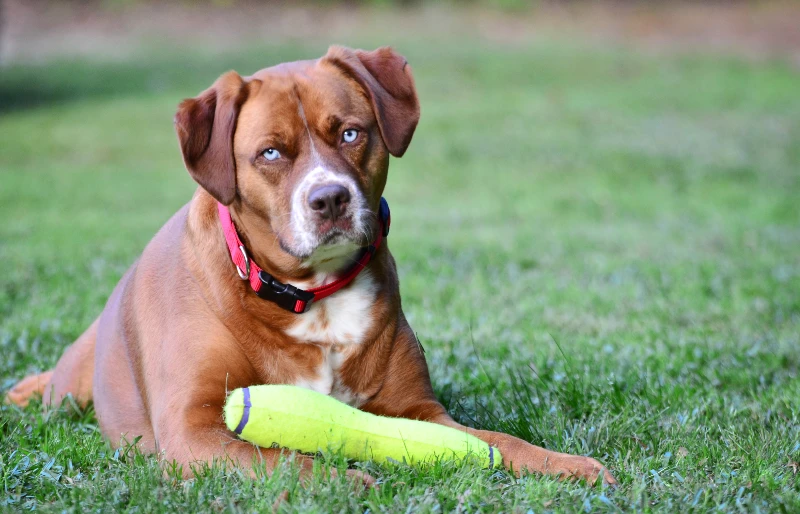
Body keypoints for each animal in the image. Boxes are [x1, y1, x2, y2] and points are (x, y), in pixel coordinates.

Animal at [7, 45, 612, 484]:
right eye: (270, 153)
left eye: (350, 132)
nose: (330, 199)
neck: (312, 295)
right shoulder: (191, 430)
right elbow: (283, 461)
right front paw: (347, 483)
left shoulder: (420, 410)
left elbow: (496, 442)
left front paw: (565, 464)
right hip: (71, 387)